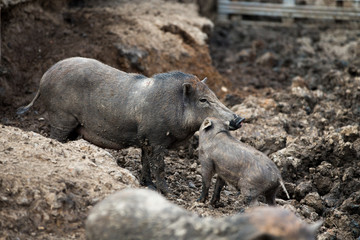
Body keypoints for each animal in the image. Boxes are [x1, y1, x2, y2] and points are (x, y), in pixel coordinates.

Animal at [16, 57, 242, 193]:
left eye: (215, 96)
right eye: (203, 100)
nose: (239, 119)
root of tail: (44, 77)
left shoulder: (146, 140)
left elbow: (145, 163)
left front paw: (147, 185)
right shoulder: (157, 139)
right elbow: (159, 167)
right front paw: (166, 192)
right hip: (62, 117)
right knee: (55, 137)